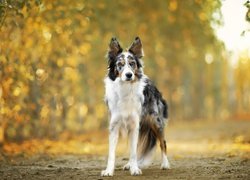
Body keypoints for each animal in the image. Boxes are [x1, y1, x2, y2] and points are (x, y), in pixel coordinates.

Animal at [101, 36, 170, 176]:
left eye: (132, 63)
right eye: (120, 64)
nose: (129, 75)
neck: (125, 88)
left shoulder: (134, 124)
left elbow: (133, 151)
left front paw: (135, 169)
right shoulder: (114, 126)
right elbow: (112, 153)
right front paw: (109, 171)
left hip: (155, 121)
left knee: (163, 142)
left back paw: (165, 164)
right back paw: (129, 164)